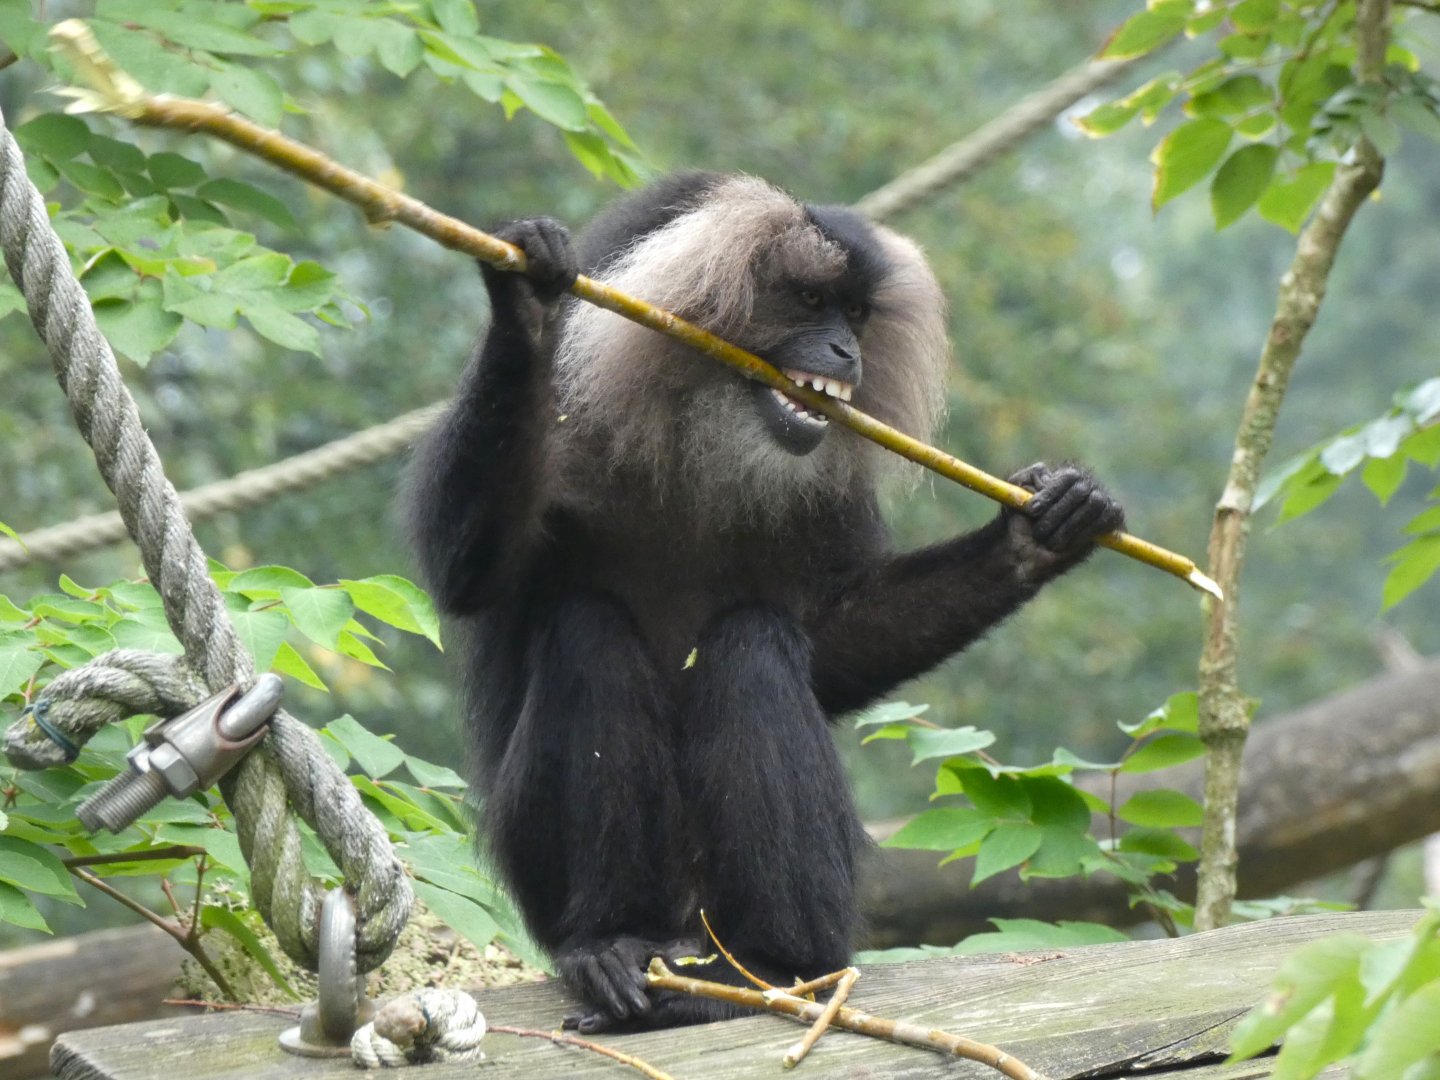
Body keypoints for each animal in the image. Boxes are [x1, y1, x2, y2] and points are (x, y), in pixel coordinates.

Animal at [405, 171, 1124, 1031]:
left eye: (856, 315)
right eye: (811, 301)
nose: (847, 352)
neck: (697, 430)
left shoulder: (826, 493)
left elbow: (832, 646)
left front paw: (1038, 532)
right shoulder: (572, 419)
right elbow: (466, 572)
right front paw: (526, 305)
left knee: (752, 643)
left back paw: (770, 968)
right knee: (586, 633)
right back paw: (613, 947)